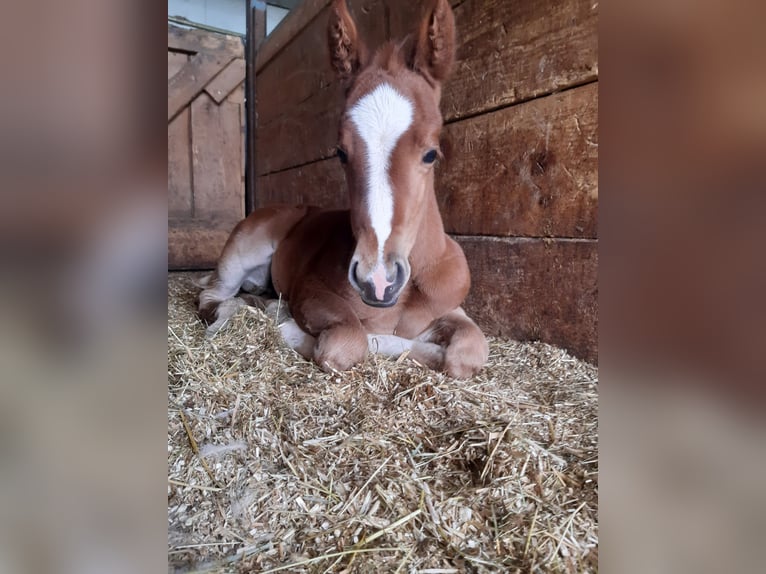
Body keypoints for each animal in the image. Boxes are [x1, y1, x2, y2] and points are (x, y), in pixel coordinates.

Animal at [197, 0, 488, 378]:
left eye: (430, 153)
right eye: (340, 152)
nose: (378, 280)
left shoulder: (451, 309)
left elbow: (467, 354)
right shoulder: (313, 292)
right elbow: (348, 342)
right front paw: (288, 323)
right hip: (241, 252)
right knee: (211, 297)